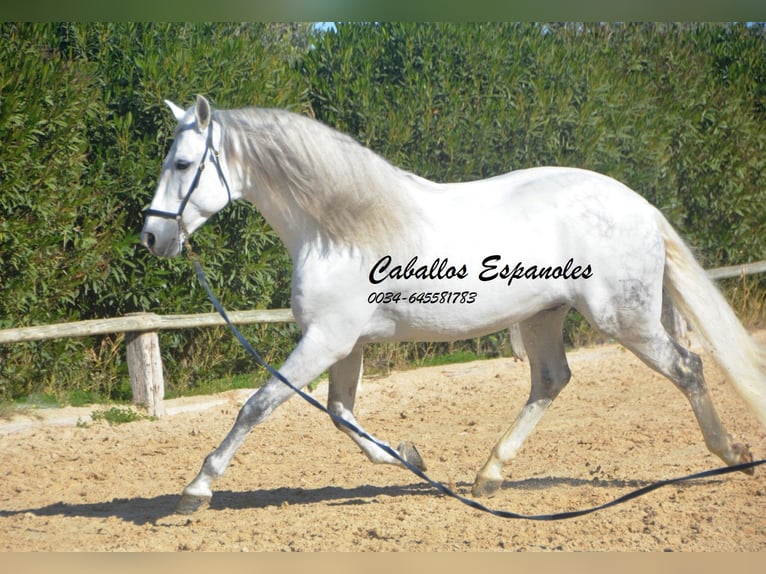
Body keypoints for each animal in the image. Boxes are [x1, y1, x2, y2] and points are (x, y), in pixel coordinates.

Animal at [142, 97, 766, 516]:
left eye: (182, 164)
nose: (152, 237)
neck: (337, 230)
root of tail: (640, 205)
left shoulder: (326, 338)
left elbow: (258, 406)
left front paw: (196, 489)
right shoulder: (346, 343)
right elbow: (341, 413)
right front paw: (410, 458)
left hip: (626, 319)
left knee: (687, 367)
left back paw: (730, 452)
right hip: (544, 317)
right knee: (550, 381)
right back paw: (488, 475)